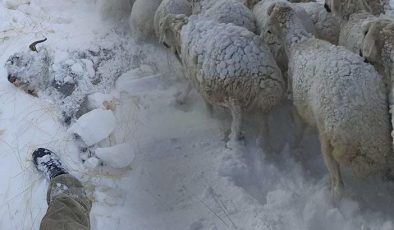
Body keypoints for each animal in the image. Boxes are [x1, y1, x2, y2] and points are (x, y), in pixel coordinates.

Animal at [159, 13, 284, 143]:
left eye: (166, 30)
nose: (164, 43)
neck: (182, 31)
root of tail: (265, 80)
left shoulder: (198, 79)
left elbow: (204, 102)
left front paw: (208, 118)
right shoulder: (197, 75)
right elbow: (190, 86)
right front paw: (181, 99)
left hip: (235, 94)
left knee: (237, 120)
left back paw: (234, 140)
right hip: (259, 103)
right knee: (263, 124)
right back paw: (261, 141)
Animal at [264, 1, 392, 196]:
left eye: (269, 30)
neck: (299, 42)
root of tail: (365, 135)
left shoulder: (299, 104)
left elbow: (298, 130)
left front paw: (293, 148)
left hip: (329, 138)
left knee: (338, 184)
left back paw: (331, 194)